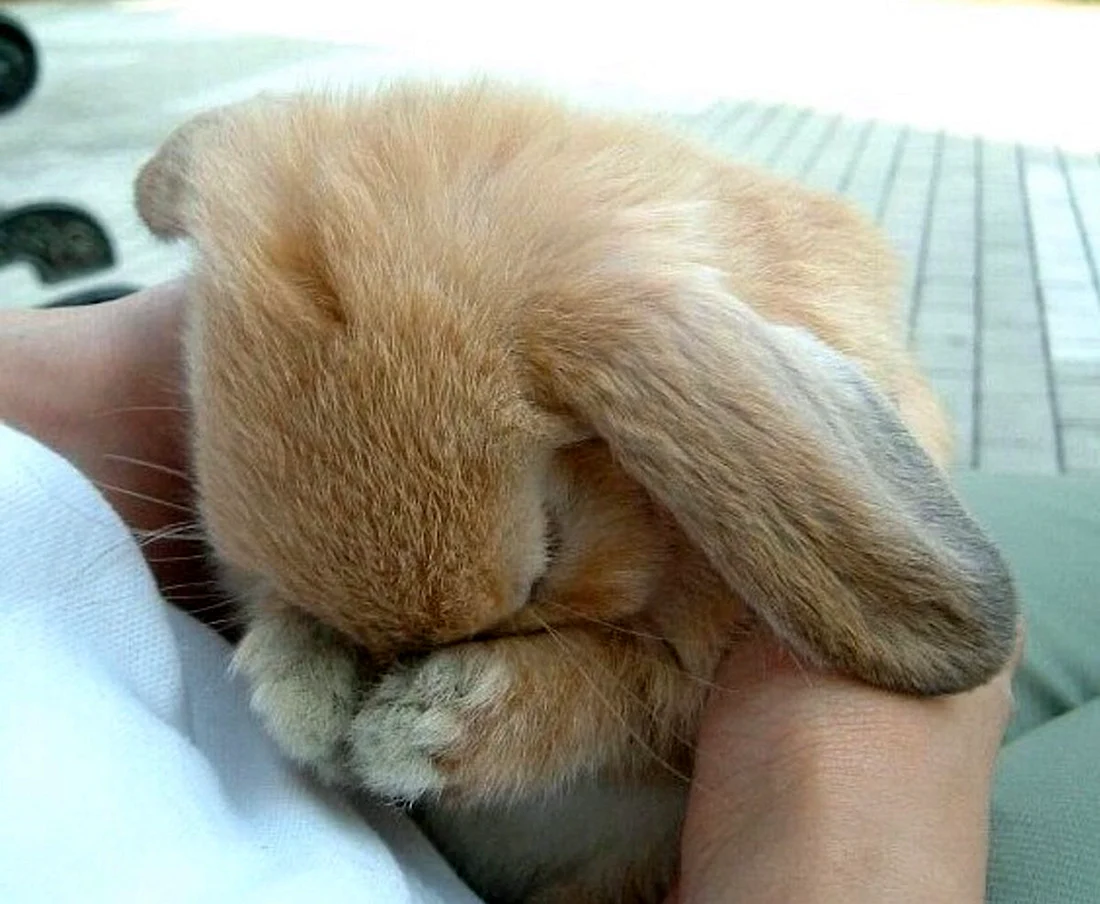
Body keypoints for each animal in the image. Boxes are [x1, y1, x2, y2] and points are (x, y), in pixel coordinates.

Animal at [135, 80, 1018, 904]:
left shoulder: (676, 702)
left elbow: (617, 692)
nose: (393, 671)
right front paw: (300, 691)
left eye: (550, 557)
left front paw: (421, 729)